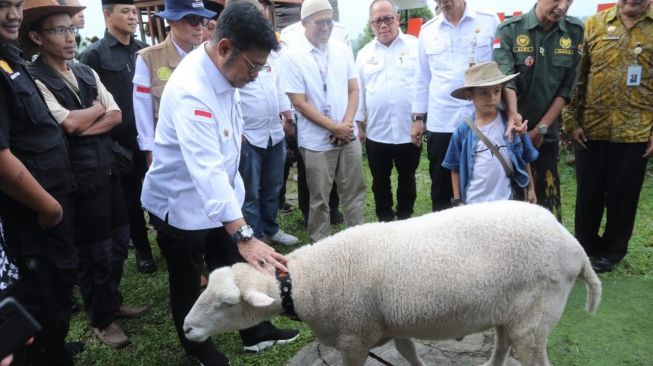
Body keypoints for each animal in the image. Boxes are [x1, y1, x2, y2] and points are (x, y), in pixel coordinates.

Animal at [182, 202, 600, 364]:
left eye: (226, 304)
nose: (186, 328)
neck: (307, 284)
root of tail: (574, 247)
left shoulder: (353, 337)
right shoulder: (392, 324)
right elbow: (409, 354)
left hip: (535, 316)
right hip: (508, 309)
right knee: (501, 343)